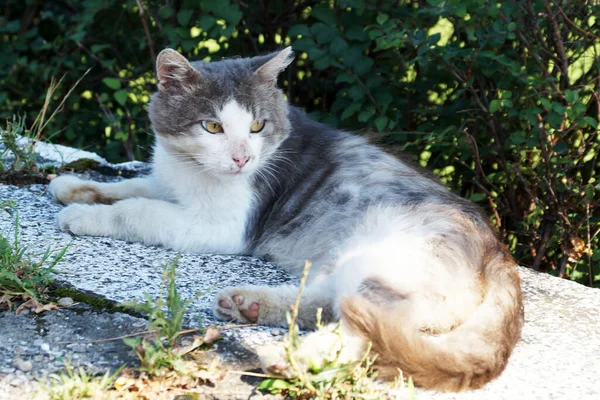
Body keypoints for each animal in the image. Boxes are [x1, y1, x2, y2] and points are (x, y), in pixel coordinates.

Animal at [49, 46, 524, 390]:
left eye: (257, 127)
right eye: (212, 127)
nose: (242, 158)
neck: (189, 170)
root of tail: (499, 254)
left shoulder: (222, 227)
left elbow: (140, 210)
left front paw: (84, 215)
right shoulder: (168, 182)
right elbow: (136, 186)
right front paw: (75, 186)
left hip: (385, 258)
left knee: (363, 333)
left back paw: (288, 358)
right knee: (327, 303)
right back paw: (251, 305)